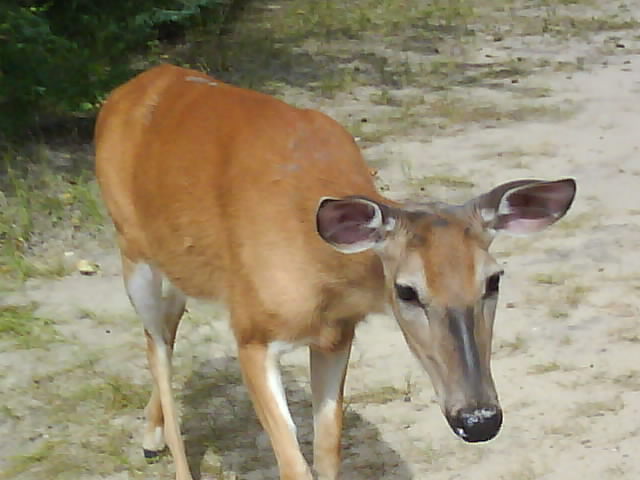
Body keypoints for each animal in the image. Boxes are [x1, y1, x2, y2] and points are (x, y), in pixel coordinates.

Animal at [94, 64, 576, 480]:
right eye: (406, 290)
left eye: (494, 279)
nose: (479, 419)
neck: (320, 272)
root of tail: (129, 88)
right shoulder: (250, 331)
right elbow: (294, 465)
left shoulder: (337, 335)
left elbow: (328, 452)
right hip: (131, 248)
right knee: (156, 345)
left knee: (168, 325)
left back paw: (151, 436)